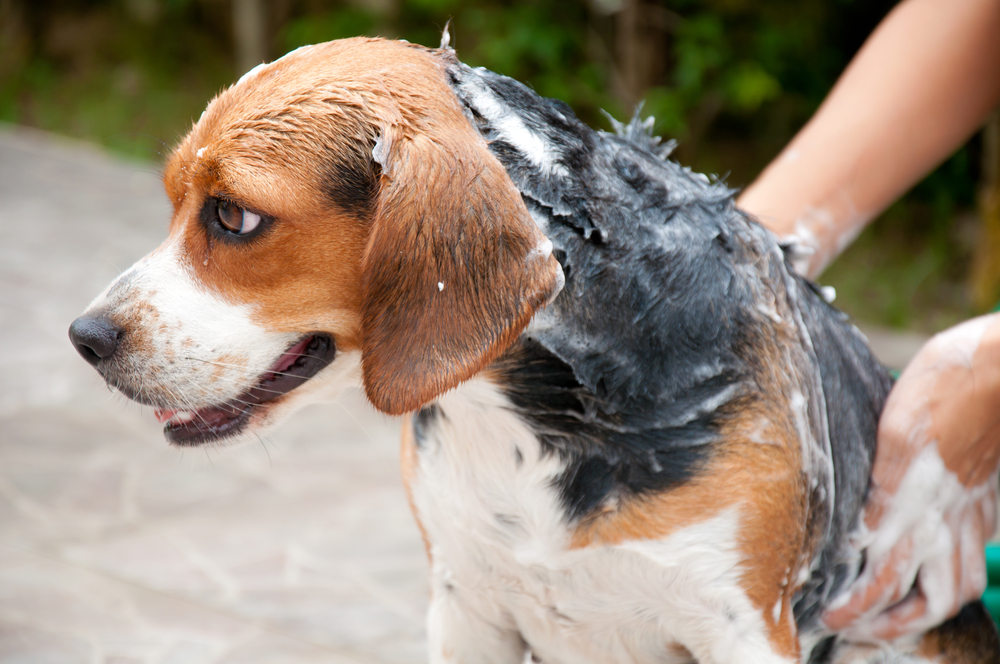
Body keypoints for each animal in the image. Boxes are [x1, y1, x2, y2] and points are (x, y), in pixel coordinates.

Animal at [66, 37, 996, 664]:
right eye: (176, 202)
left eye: (234, 216)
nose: (84, 338)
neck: (527, 420)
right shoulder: (466, 603)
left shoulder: (742, 627)